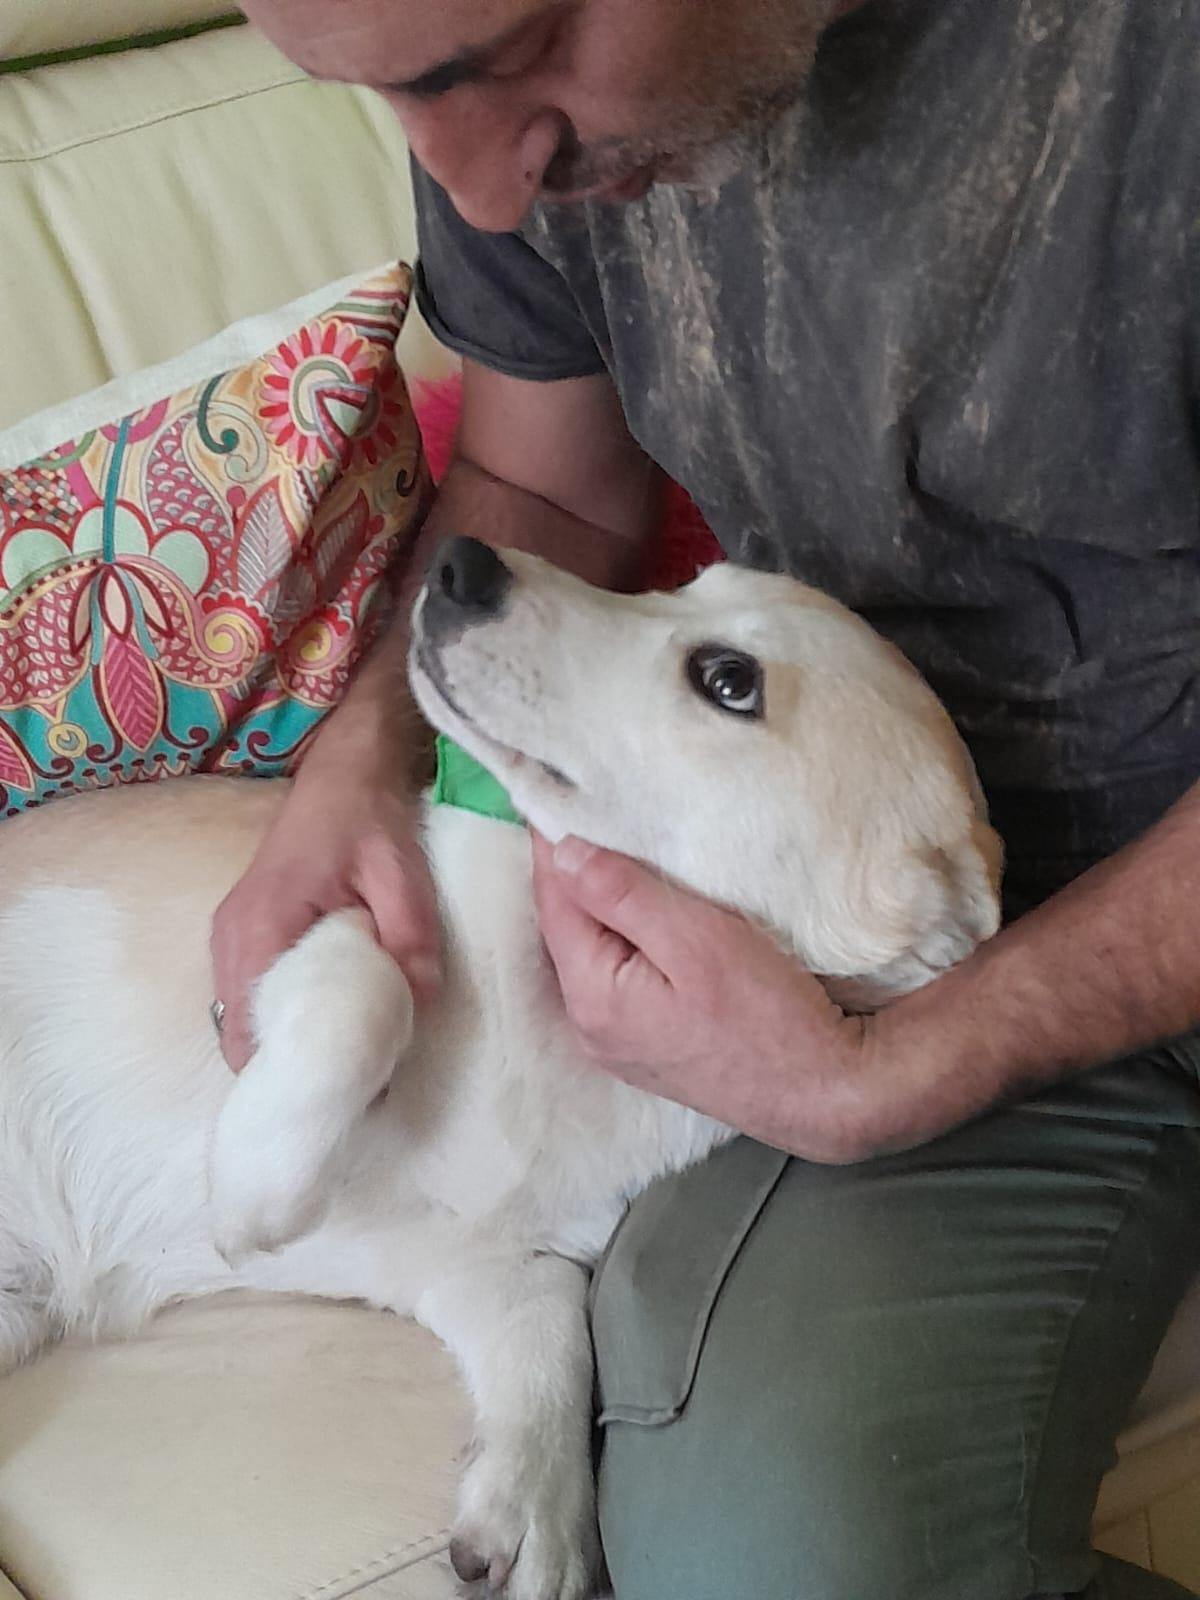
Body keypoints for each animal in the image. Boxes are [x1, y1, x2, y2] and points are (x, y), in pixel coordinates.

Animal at [0, 538, 1001, 1599]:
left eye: (730, 681)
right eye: (686, 585)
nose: (459, 563)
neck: (543, 1032)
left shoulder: (474, 1257)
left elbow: (557, 1337)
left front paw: (535, 1512)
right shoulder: (341, 923)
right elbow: (371, 996)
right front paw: (252, 1190)